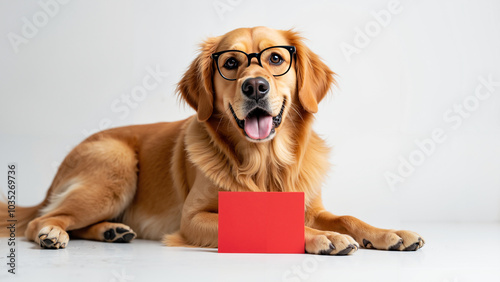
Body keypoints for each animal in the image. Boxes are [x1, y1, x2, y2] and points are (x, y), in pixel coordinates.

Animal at [0, 26, 424, 254]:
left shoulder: (309, 204)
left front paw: (389, 234)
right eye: (231, 63)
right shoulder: (194, 219)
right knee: (42, 220)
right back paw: (53, 234)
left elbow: (347, 216)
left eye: (275, 59)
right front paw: (326, 239)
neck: (264, 163)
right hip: (114, 169)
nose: (255, 87)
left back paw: (112, 231)